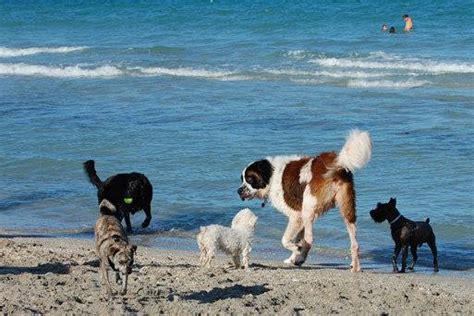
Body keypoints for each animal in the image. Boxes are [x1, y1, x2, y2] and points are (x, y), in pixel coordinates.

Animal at [239, 130, 372, 270]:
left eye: (249, 179)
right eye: (242, 179)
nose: (239, 191)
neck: (271, 175)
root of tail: (337, 163)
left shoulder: (296, 216)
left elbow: (286, 240)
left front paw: (297, 251)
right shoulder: (300, 218)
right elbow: (297, 238)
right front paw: (293, 257)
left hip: (308, 208)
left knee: (310, 238)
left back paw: (302, 256)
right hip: (346, 207)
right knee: (354, 241)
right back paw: (355, 267)